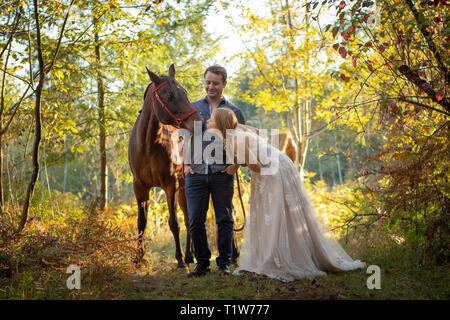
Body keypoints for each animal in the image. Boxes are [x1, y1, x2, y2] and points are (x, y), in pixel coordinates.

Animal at [127, 64, 203, 268]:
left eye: (185, 92)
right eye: (169, 95)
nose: (199, 122)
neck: (149, 144)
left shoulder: (171, 186)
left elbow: (174, 223)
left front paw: (179, 259)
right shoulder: (140, 187)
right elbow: (141, 222)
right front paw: (139, 258)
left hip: (185, 188)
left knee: (188, 219)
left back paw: (188, 256)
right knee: (189, 219)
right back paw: (190, 255)